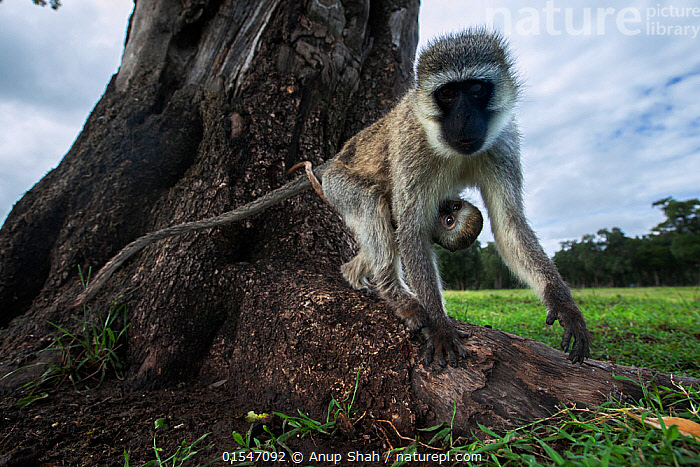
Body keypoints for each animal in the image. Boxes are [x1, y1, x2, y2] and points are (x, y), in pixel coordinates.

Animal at [72, 27, 590, 367]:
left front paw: (565, 306)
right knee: (377, 207)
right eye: (448, 95)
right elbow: (411, 227)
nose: (464, 120)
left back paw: (358, 275)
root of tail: (329, 163)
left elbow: (508, 225)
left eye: (477, 90)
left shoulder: (501, 144)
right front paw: (440, 324)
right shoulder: (412, 147)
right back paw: (392, 292)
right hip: (342, 184)